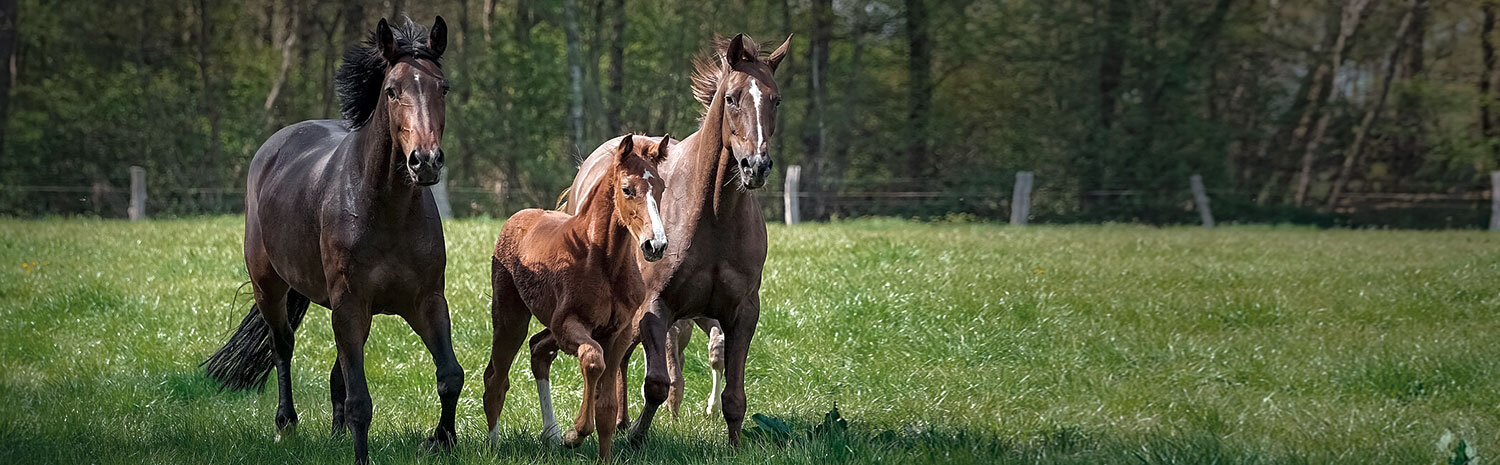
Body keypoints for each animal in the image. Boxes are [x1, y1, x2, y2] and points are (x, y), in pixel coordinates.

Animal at [201, 16, 456, 462]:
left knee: (337, 369)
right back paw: (286, 423)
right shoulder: (349, 304)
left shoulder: (425, 301)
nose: (425, 161)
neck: (384, 210)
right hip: (270, 286)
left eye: (441, 87)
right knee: (282, 345)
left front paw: (441, 440)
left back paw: (335, 432)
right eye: (392, 91)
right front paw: (362, 455)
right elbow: (360, 401)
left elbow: (449, 376)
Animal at [564, 33, 792, 447]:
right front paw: (636, 437)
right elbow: (657, 382)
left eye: (776, 99)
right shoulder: (656, 309)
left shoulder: (742, 312)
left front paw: (734, 445)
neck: (713, 217)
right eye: (732, 97)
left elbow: (735, 394)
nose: (756, 166)